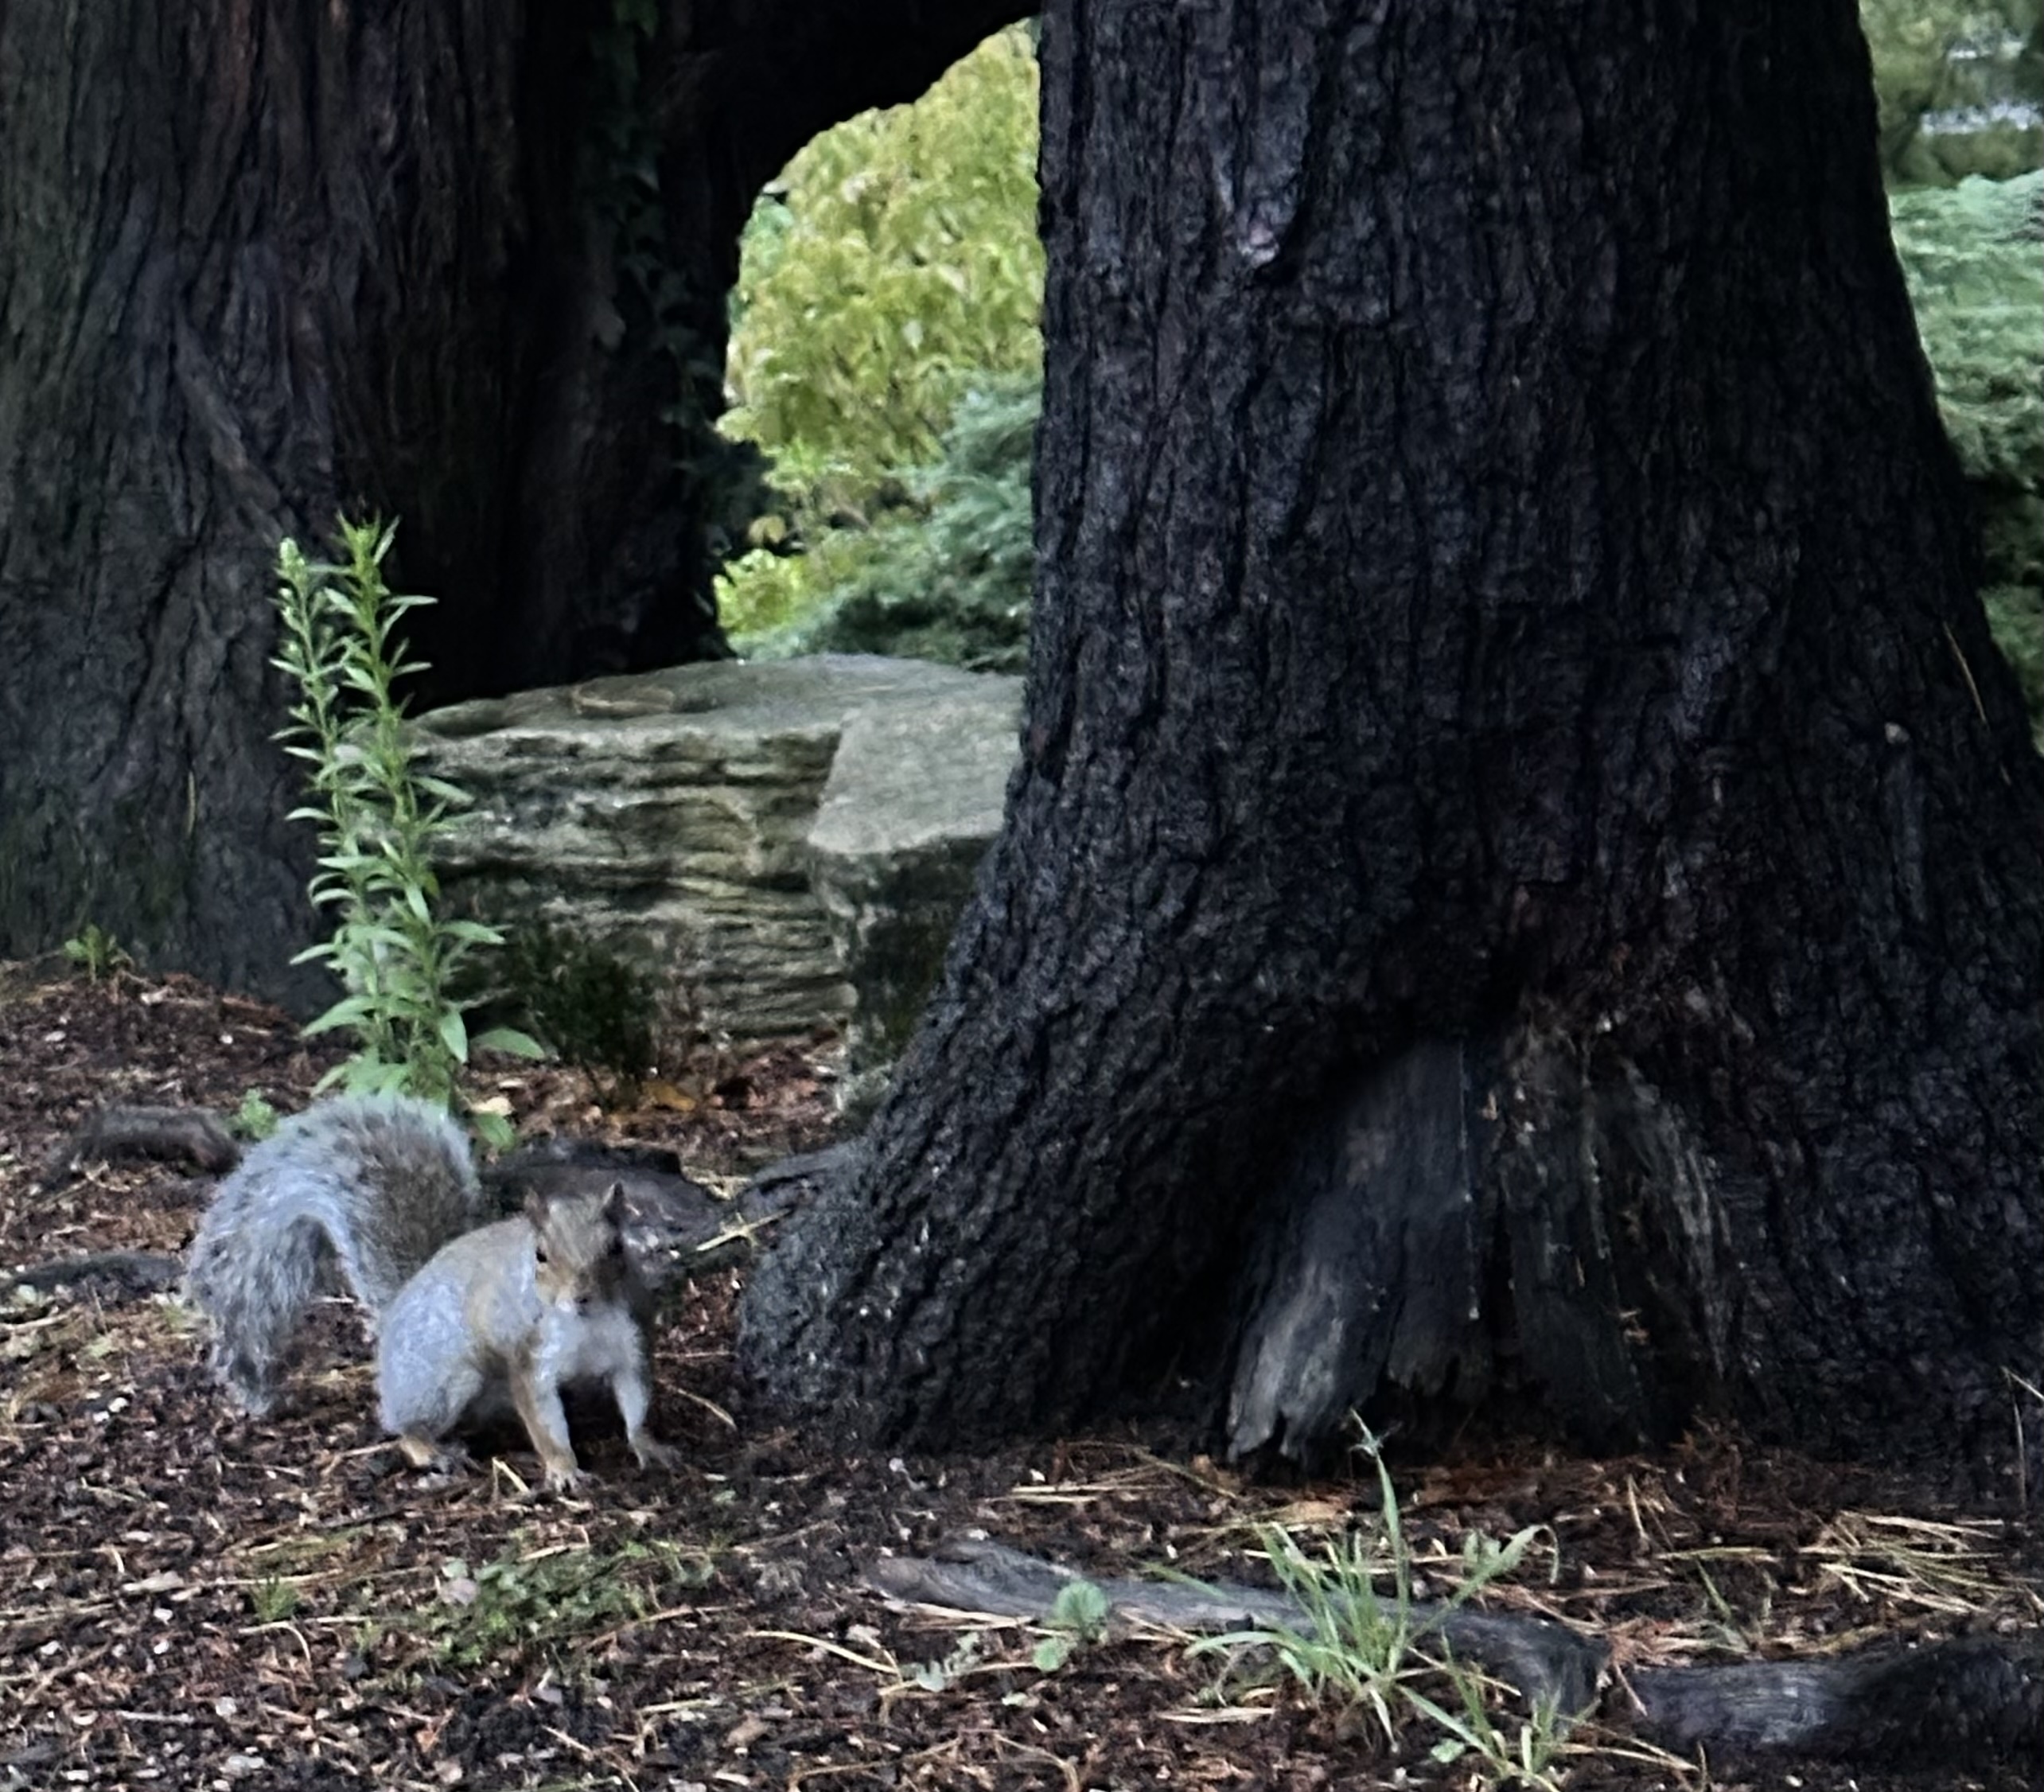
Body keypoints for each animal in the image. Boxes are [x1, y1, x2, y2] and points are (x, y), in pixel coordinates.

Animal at [185, 1087, 678, 1479]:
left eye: (617, 1248)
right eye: (540, 1255)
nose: (581, 1296)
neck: (586, 1325)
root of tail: (398, 1307)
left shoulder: (631, 1342)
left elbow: (636, 1400)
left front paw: (648, 1444)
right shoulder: (529, 1356)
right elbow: (543, 1420)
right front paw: (563, 1467)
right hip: (444, 1381)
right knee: (406, 1428)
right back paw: (431, 1450)